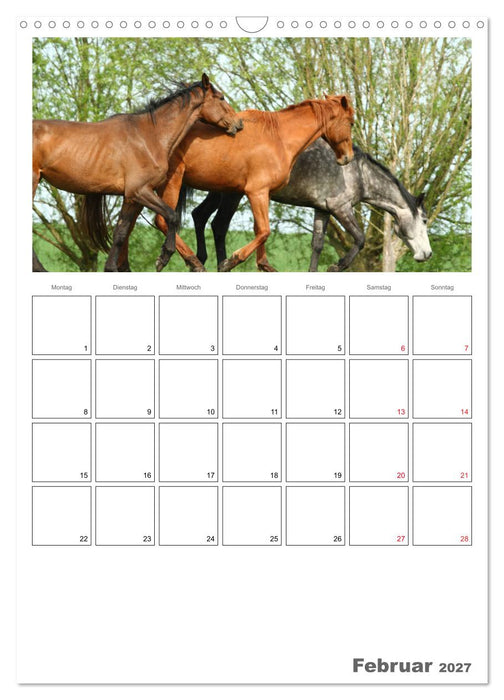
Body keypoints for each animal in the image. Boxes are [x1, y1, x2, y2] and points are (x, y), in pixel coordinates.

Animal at [32, 74, 243, 271]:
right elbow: (172, 216)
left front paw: (111, 268)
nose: (239, 124)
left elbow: (120, 232)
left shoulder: (131, 197)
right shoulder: (140, 191)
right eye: (221, 97)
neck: (149, 136)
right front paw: (164, 257)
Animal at [142, 95, 355, 272]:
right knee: (163, 219)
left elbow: (258, 230)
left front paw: (263, 265)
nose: (348, 157)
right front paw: (231, 261)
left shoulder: (263, 193)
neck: (278, 138)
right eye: (351, 123)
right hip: (173, 182)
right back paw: (188, 261)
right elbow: (264, 231)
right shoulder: (256, 192)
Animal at [188, 141, 432, 272]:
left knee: (199, 215)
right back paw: (224, 264)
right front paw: (338, 265)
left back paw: (199, 261)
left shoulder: (322, 210)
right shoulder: (340, 208)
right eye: (425, 220)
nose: (427, 254)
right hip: (232, 194)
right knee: (219, 225)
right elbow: (360, 239)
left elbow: (317, 245)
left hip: (219, 191)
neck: (358, 173)